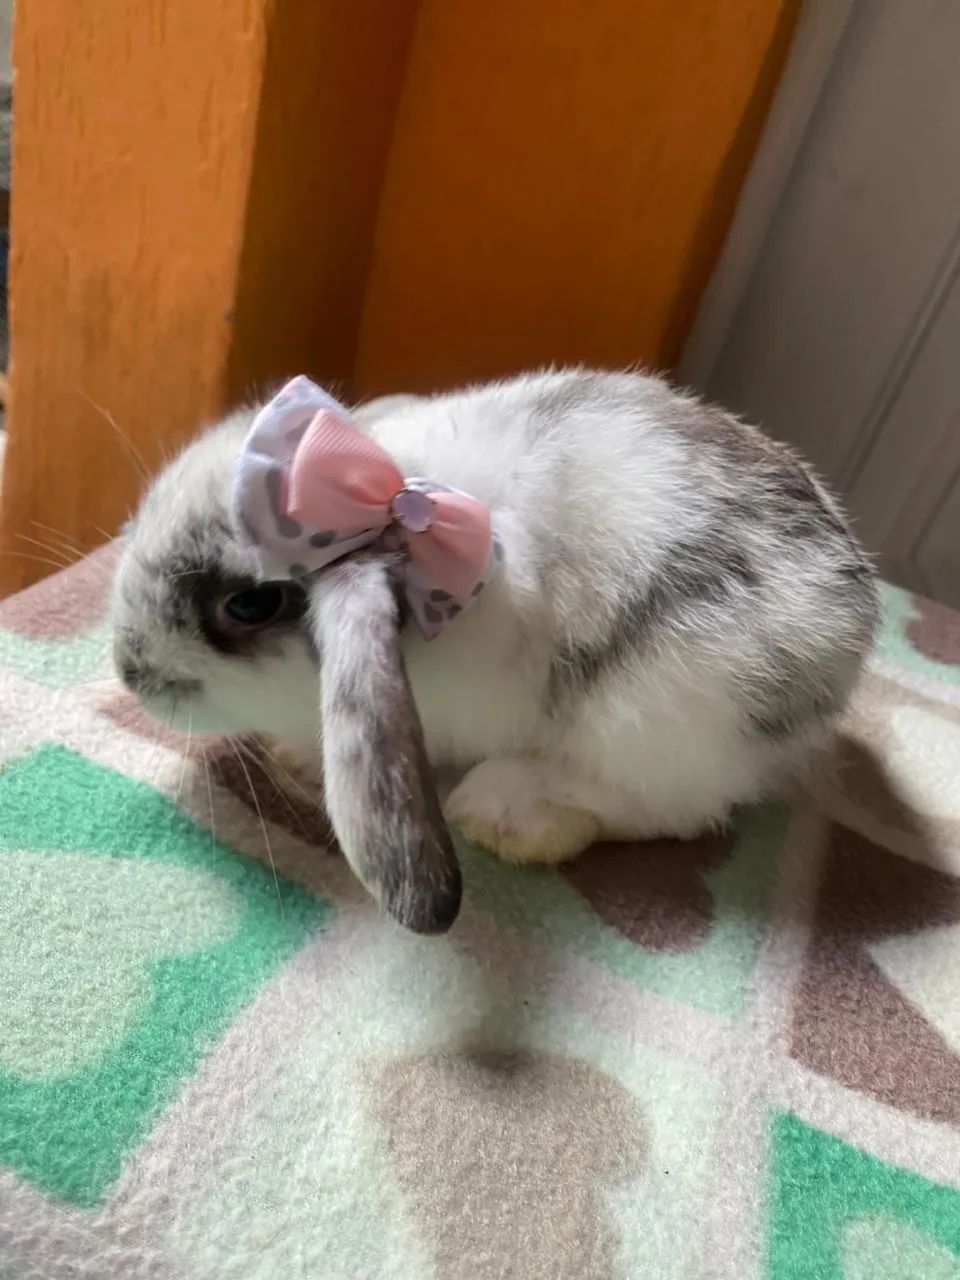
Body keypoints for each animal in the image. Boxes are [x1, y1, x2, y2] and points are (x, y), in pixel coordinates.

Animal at [112, 367, 878, 932]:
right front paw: (297, 758)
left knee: (672, 808)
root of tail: (853, 627)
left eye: (247, 606)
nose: (129, 672)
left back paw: (506, 812)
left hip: (658, 714)